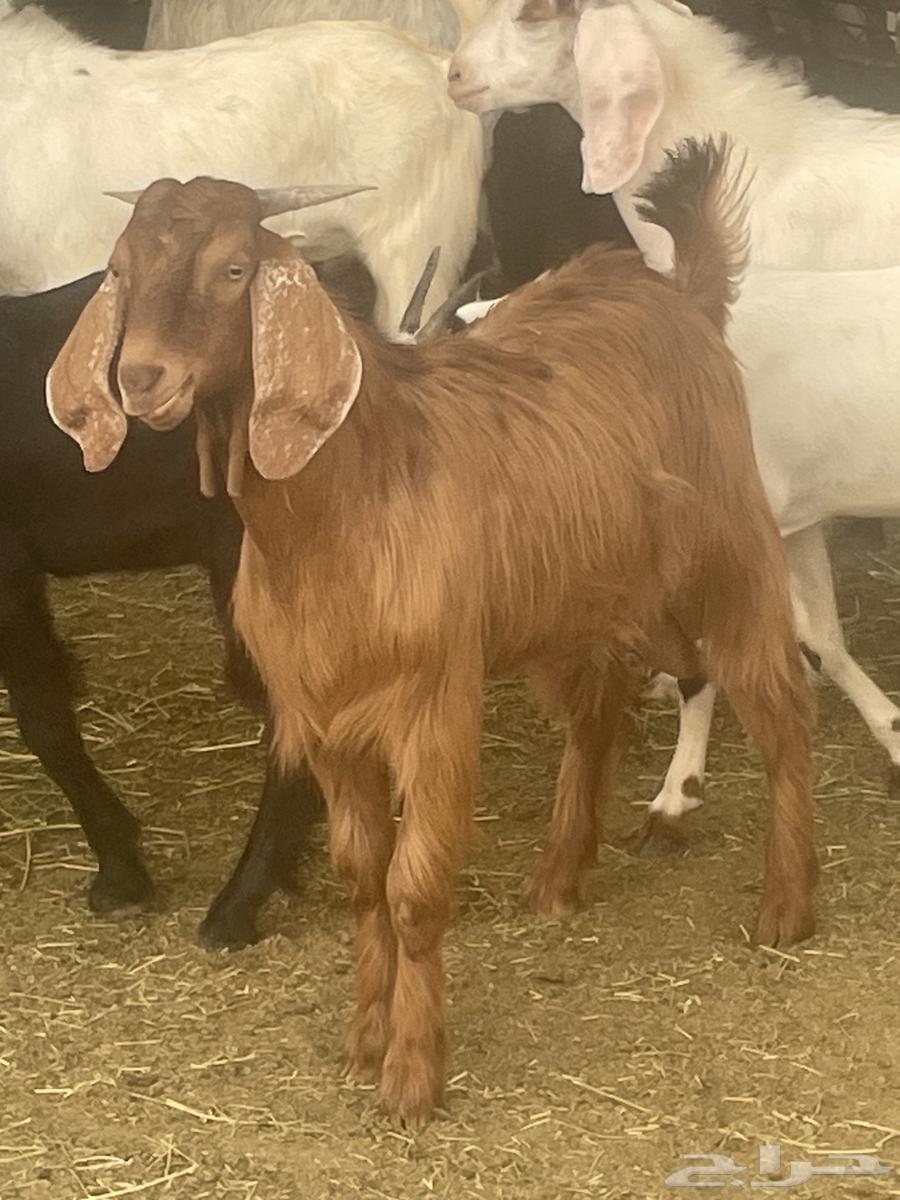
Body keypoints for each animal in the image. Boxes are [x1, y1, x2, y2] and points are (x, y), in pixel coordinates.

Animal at [47, 139, 816, 1123]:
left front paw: (412, 1077)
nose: (144, 377)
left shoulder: (435, 703)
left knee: (780, 704)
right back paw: (558, 879)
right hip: (578, 603)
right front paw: (363, 1044)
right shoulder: (327, 721)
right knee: (600, 708)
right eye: (120, 268)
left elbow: (413, 887)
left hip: (730, 554)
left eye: (232, 270)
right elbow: (360, 874)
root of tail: (680, 292)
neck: (349, 498)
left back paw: (787, 906)